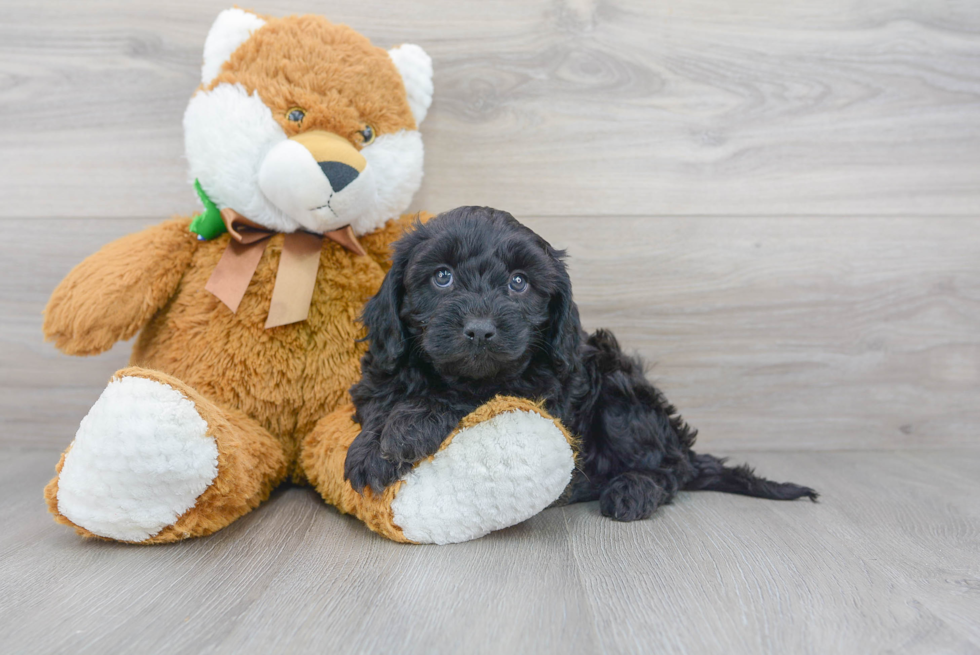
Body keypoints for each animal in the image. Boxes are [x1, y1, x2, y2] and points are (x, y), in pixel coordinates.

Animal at [340, 208, 816, 520]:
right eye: (443, 276)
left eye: (519, 283)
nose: (479, 329)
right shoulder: (380, 374)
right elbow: (382, 403)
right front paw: (373, 444)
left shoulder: (532, 390)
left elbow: (470, 398)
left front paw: (402, 432)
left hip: (621, 393)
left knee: (671, 469)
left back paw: (632, 490)